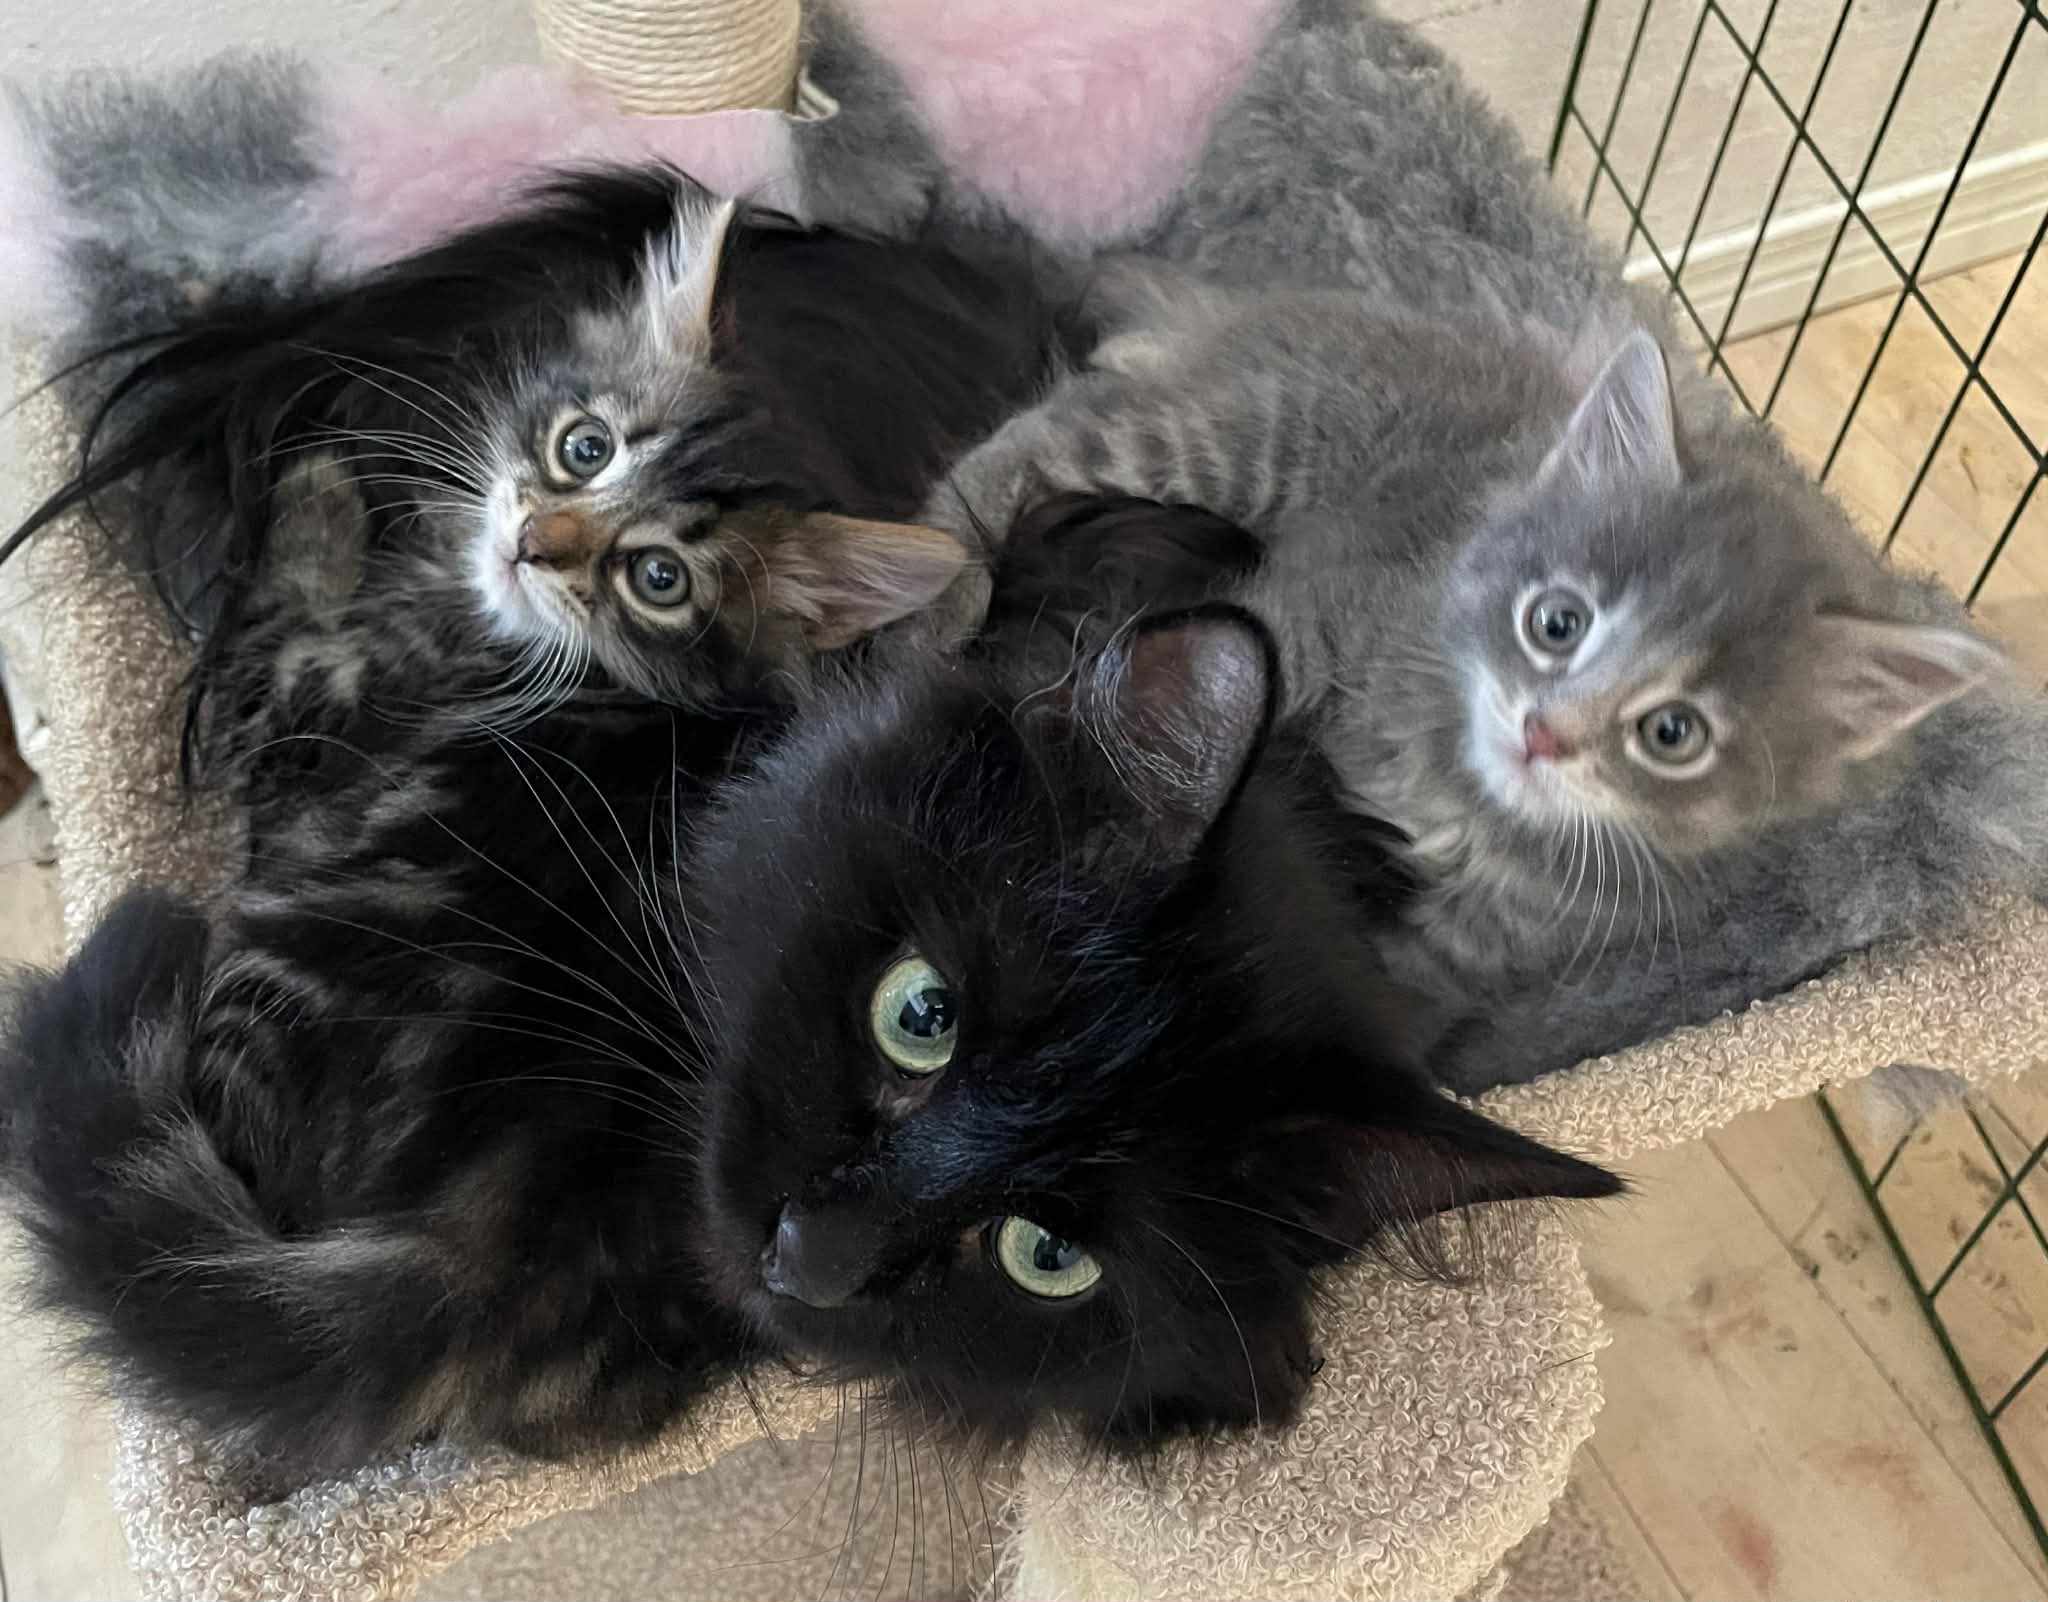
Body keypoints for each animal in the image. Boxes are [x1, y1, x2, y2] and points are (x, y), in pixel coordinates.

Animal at [916, 273, 2044, 1087]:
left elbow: (1384, 993)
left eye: (1672, 733)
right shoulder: (1321, 603)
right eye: (1556, 622)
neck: (1454, 792)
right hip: (1219, 436)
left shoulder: (1485, 942)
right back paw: (916, 594)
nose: (1545, 731)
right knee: (1018, 456)